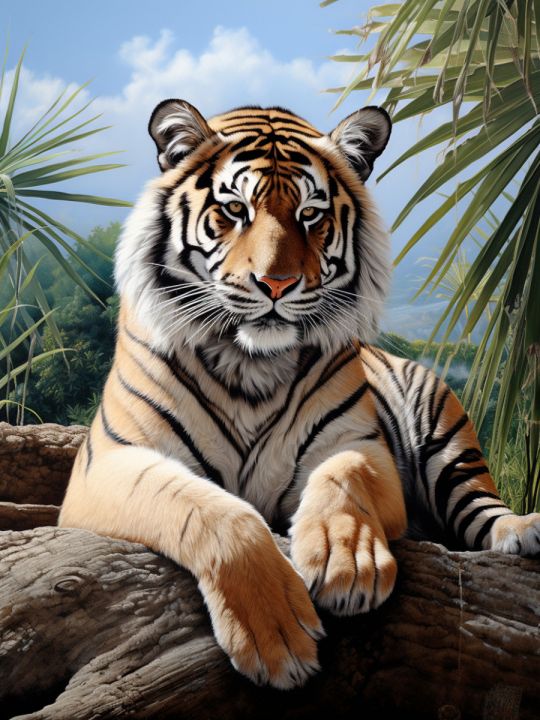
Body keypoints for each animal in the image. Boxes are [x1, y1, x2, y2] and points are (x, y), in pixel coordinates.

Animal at [59, 99, 540, 690]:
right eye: (234, 210)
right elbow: (211, 509)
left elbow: (344, 477)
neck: (250, 363)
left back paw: (522, 530)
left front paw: (346, 563)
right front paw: (278, 638)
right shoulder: (108, 465)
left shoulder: (360, 443)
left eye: (311, 214)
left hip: (445, 431)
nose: (276, 284)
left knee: (479, 505)